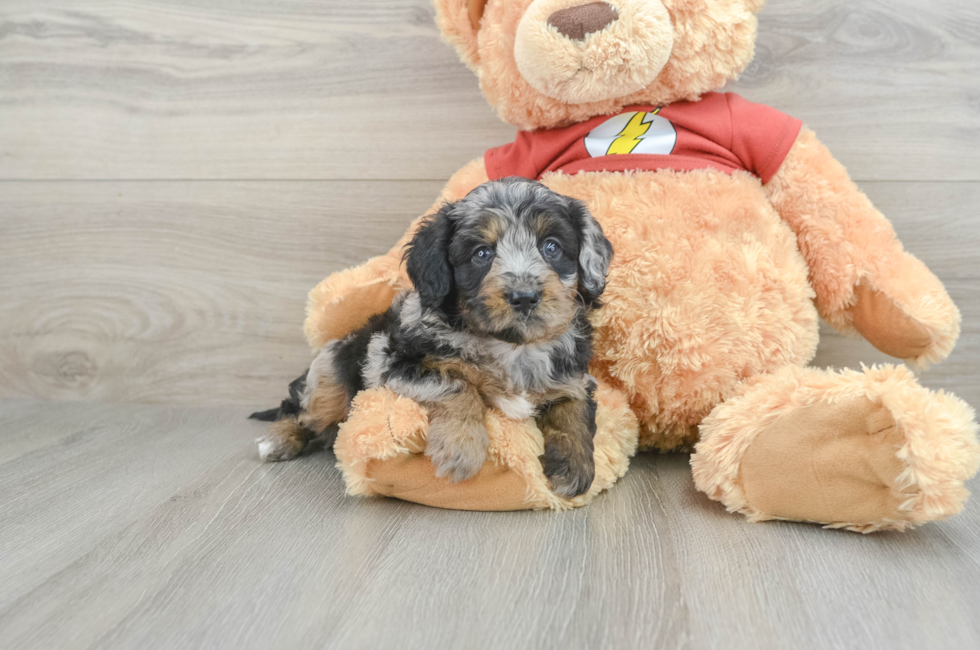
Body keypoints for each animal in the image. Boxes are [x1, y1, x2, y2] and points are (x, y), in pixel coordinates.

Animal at [256, 177, 616, 496]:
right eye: (481, 254)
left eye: (551, 247)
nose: (524, 296)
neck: (511, 346)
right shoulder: (392, 362)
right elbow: (455, 384)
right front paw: (461, 449)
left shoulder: (573, 377)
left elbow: (574, 411)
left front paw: (576, 468)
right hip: (330, 373)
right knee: (303, 412)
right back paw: (277, 440)